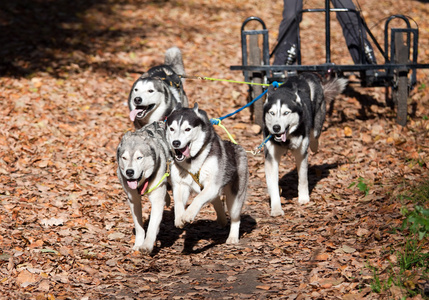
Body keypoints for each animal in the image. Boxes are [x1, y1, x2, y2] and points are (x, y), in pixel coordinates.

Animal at [118, 122, 171, 253]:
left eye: (139, 157)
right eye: (124, 158)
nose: (129, 172)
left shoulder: (157, 200)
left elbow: (152, 225)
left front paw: (147, 245)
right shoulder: (133, 200)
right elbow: (139, 227)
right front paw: (138, 244)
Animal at [166, 103, 249, 244]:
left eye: (187, 129)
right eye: (171, 129)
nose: (175, 143)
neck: (192, 161)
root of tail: (237, 147)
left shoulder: (212, 185)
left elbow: (198, 198)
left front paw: (188, 214)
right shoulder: (180, 184)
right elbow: (178, 202)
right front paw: (179, 218)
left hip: (235, 198)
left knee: (235, 217)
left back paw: (232, 236)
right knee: (216, 201)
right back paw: (222, 219)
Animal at [262, 72, 346, 216]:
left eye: (286, 113)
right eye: (272, 113)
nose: (276, 128)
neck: (287, 139)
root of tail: (306, 74)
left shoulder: (301, 154)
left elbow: (302, 178)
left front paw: (303, 198)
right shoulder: (271, 157)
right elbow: (273, 185)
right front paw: (276, 208)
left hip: (316, 124)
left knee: (314, 135)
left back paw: (314, 146)